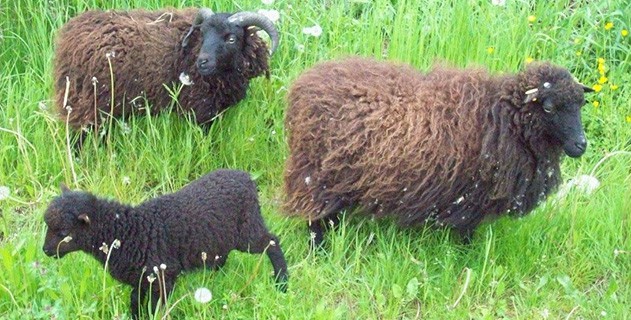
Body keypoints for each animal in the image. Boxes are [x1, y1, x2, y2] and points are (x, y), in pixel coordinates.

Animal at [43, 169, 288, 318]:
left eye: (63, 232)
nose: (45, 251)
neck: (125, 232)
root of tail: (246, 178)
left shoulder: (163, 275)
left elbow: (154, 307)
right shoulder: (142, 278)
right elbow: (135, 301)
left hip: (247, 232)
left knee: (272, 242)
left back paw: (282, 282)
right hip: (220, 236)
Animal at [284, 57, 596, 248]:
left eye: (581, 103)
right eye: (549, 107)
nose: (581, 145)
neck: (505, 117)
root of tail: (302, 86)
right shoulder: (472, 195)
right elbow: (467, 231)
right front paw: (466, 255)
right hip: (316, 174)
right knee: (313, 218)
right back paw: (320, 248)